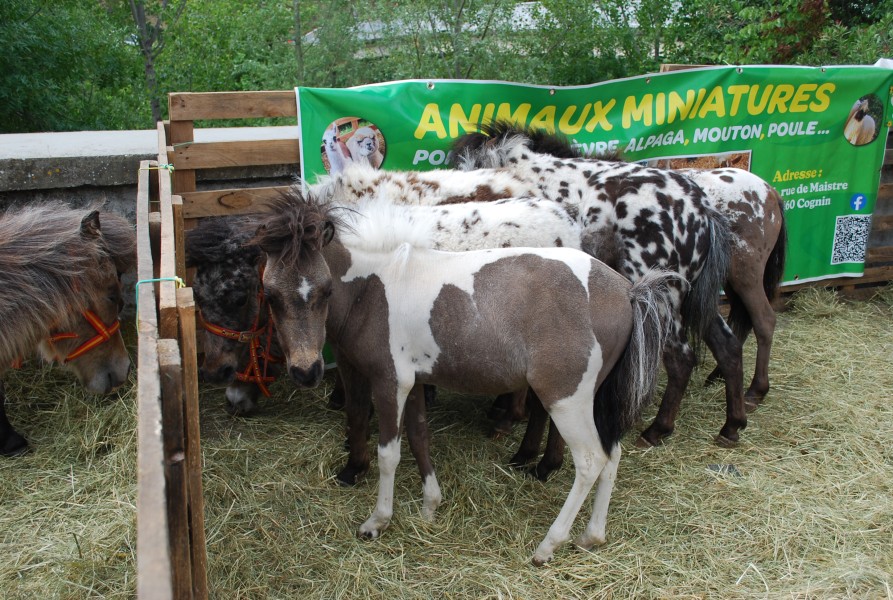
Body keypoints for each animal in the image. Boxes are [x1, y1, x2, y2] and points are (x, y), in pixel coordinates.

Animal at [246, 189, 676, 568]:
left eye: (324, 290)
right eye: (271, 295)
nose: (306, 371)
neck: (376, 283)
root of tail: (627, 291)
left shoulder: (389, 382)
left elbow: (389, 453)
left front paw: (377, 521)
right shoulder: (415, 382)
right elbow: (419, 436)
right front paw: (430, 507)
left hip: (565, 398)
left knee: (590, 461)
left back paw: (549, 545)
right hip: (598, 397)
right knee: (612, 454)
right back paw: (591, 536)